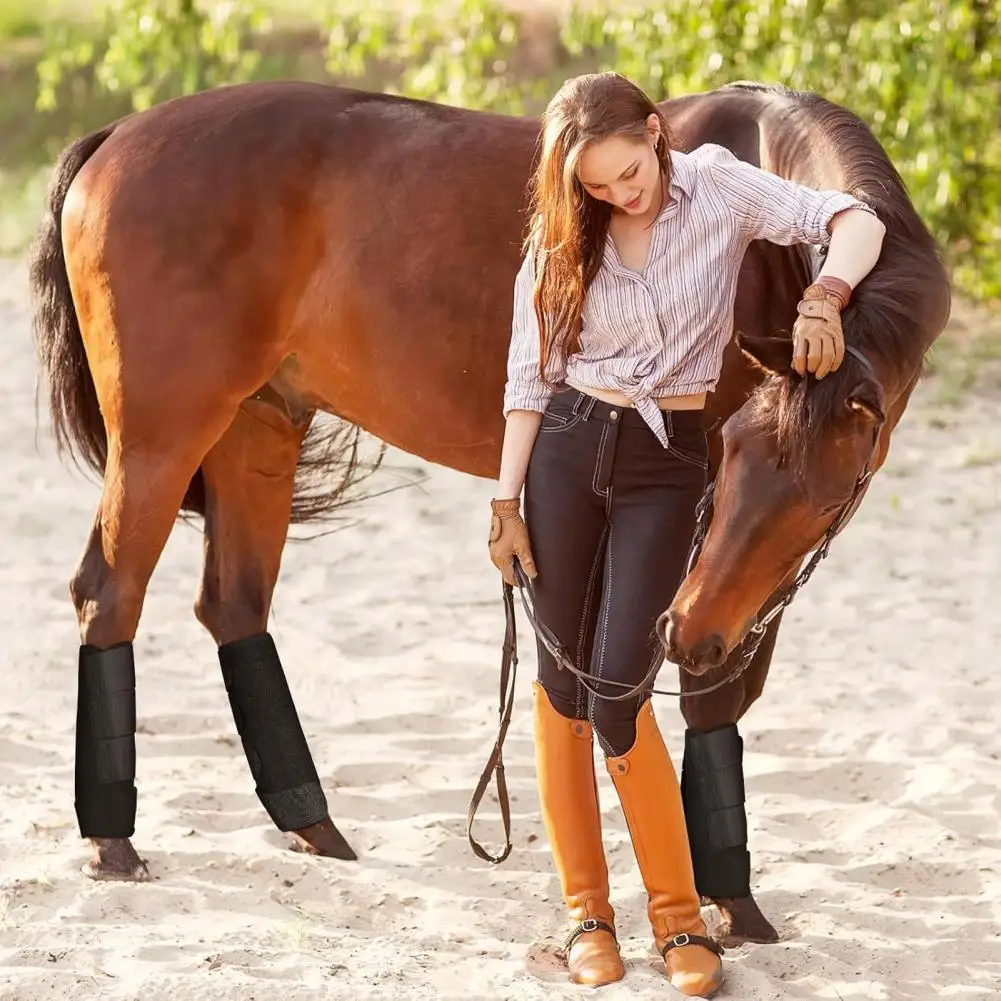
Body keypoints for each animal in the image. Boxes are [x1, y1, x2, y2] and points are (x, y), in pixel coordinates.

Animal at [29, 78, 944, 944]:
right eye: (737, 456)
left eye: (821, 494)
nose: (686, 630)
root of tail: (118, 135)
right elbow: (705, 693)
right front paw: (730, 898)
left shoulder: (742, 579)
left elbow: (722, 686)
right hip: (161, 440)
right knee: (109, 593)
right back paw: (114, 842)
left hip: (258, 424)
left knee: (233, 605)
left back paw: (310, 822)